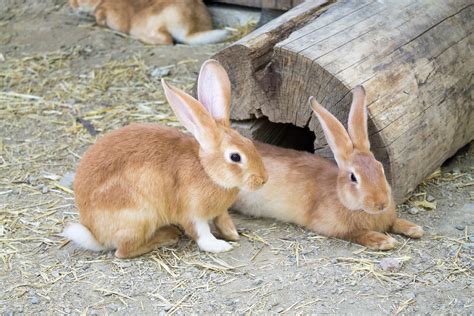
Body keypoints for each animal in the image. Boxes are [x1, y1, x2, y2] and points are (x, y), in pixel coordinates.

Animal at [64, 59, 266, 260]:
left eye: (249, 142)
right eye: (235, 157)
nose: (263, 179)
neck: (207, 170)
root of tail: (95, 235)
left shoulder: (219, 211)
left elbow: (222, 219)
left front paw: (232, 234)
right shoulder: (191, 212)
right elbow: (201, 233)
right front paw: (220, 246)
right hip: (138, 217)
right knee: (123, 251)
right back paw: (166, 237)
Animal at [233, 86, 422, 249]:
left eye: (380, 168)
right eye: (353, 177)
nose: (381, 204)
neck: (343, 198)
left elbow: (395, 222)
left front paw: (415, 229)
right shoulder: (334, 227)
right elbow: (358, 234)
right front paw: (384, 241)